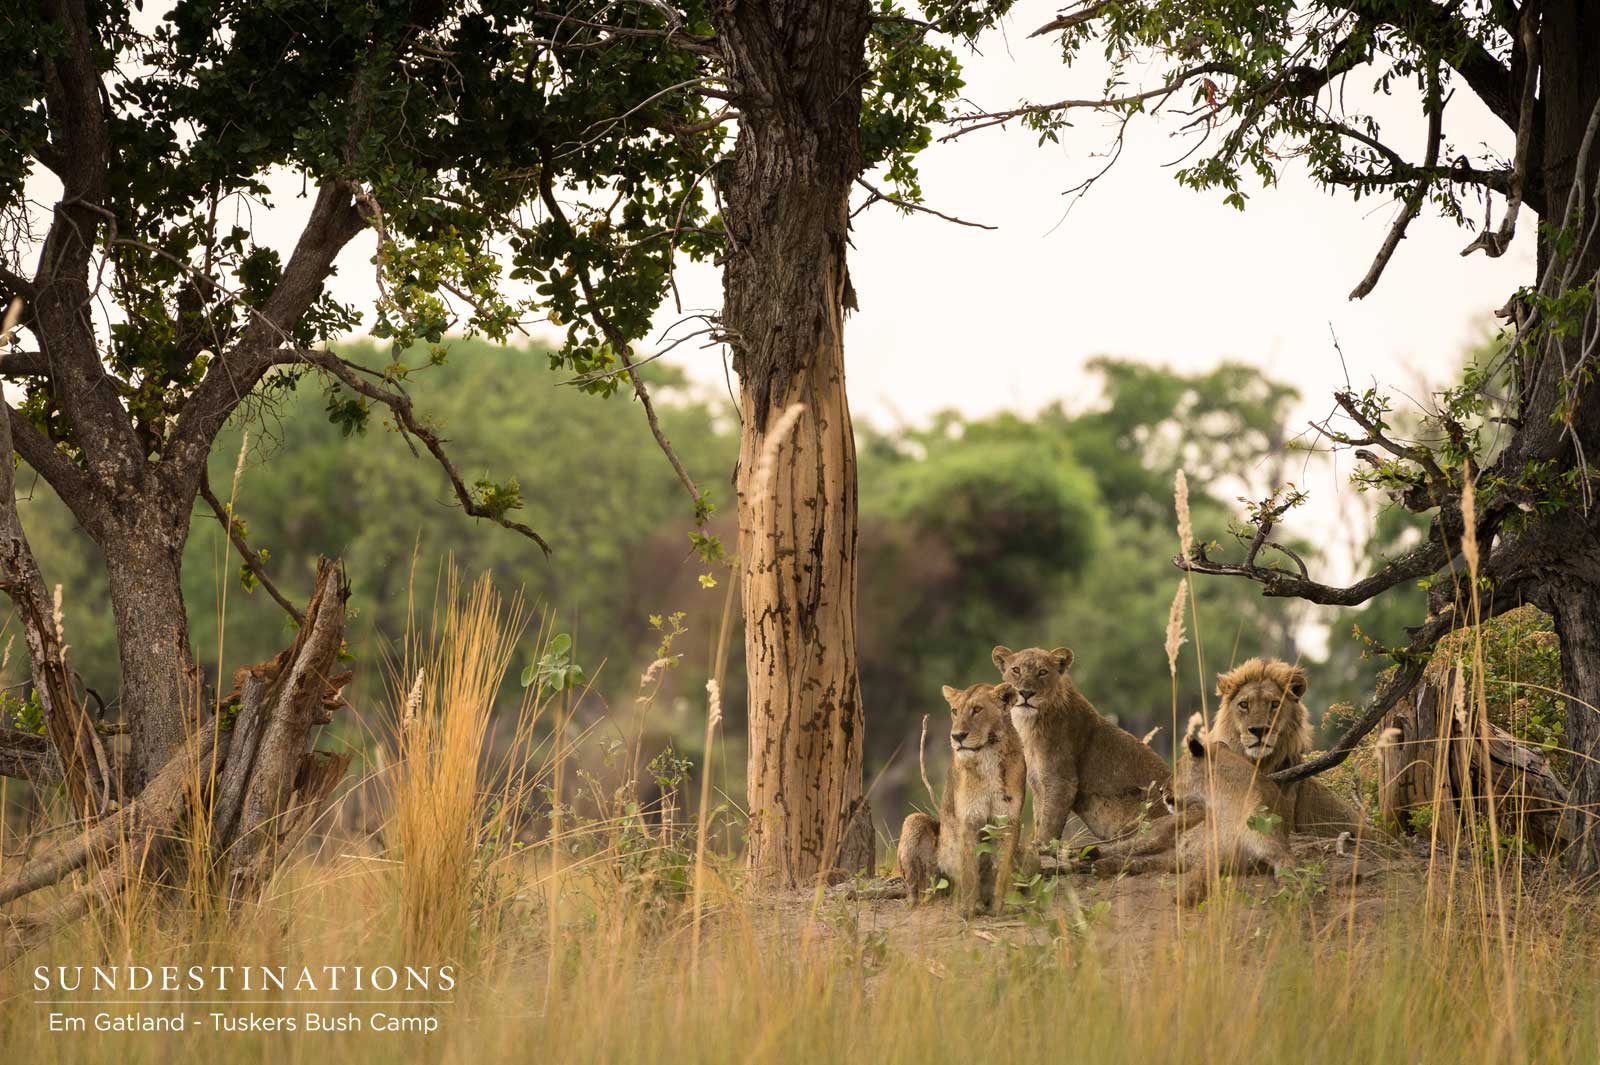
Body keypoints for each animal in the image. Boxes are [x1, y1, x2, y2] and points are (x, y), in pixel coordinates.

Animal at [897, 683, 1027, 917]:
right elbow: (969, 869)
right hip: (916, 823)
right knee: (919, 888)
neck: (987, 755)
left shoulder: (1009, 820)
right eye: (955, 711)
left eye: (977, 709)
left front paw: (1002, 906)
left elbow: (1003, 868)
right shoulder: (968, 819)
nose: (957, 736)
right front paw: (968, 909)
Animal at [991, 645, 1171, 848]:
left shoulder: (1061, 782)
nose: (1026, 693)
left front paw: (1041, 847)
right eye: (1016, 670)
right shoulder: (1038, 783)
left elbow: (1048, 826)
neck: (1030, 724)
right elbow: (1039, 820)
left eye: (1043, 672)